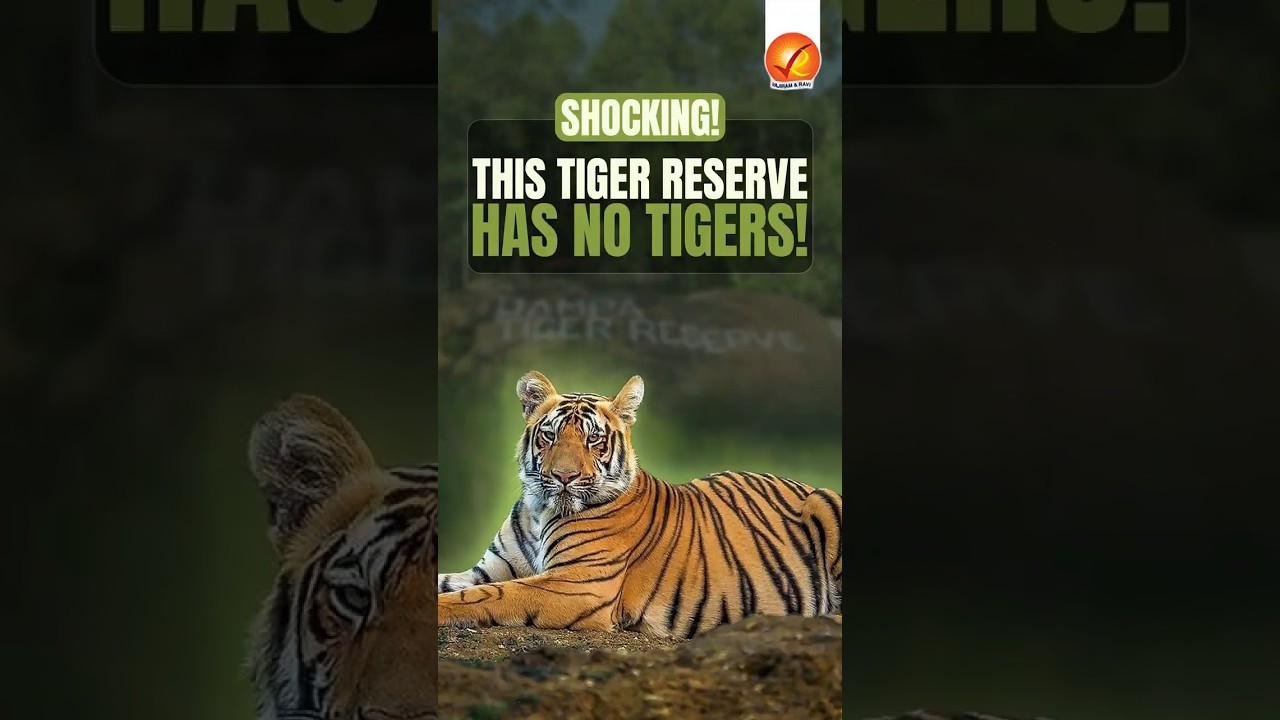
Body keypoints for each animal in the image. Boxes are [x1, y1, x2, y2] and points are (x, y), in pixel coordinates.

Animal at [437, 370, 842, 639]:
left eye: (593, 439)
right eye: (549, 436)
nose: (564, 477)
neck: (541, 510)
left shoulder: (577, 583)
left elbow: (491, 595)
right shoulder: (488, 569)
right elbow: (450, 581)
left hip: (826, 500)